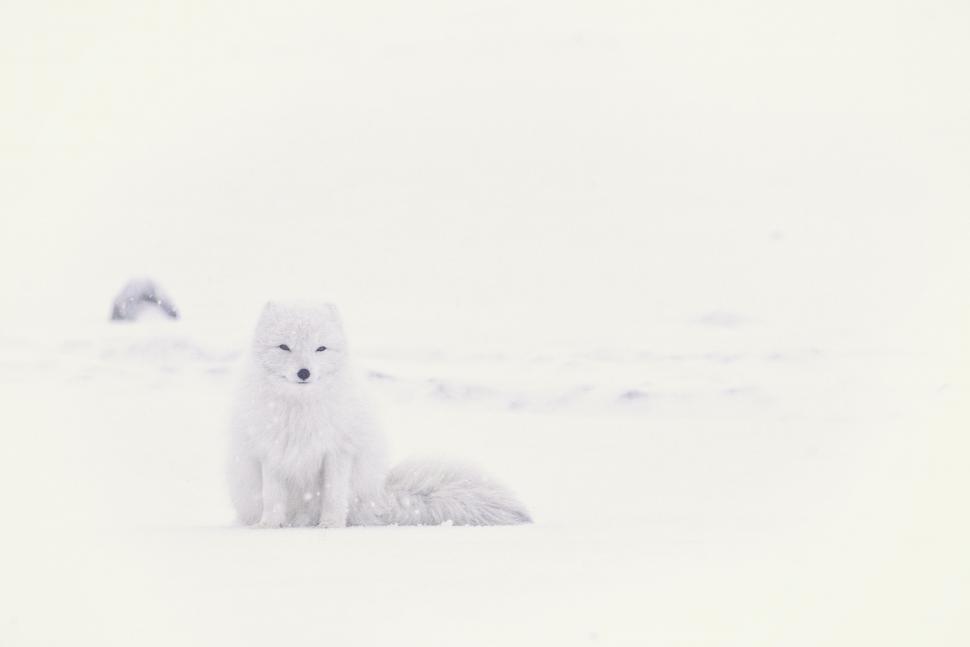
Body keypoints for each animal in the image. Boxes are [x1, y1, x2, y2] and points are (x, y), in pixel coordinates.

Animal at [227, 301, 532, 528]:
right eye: (284, 347)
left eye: (320, 348)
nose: (304, 372)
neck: (300, 409)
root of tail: (378, 496)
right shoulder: (270, 450)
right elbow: (272, 495)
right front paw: (269, 526)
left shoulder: (339, 450)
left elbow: (334, 494)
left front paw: (331, 525)